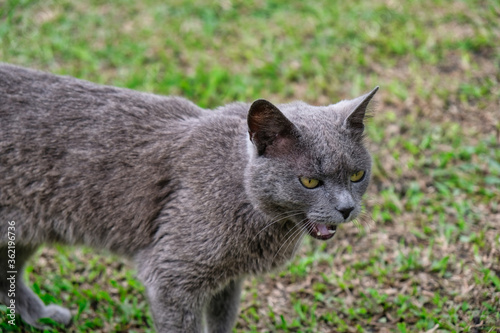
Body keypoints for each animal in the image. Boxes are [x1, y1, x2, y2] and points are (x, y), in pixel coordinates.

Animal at [0, 63, 376, 330]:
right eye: (310, 181)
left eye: (357, 175)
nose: (346, 208)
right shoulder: (172, 278)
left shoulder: (228, 279)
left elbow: (222, 322)